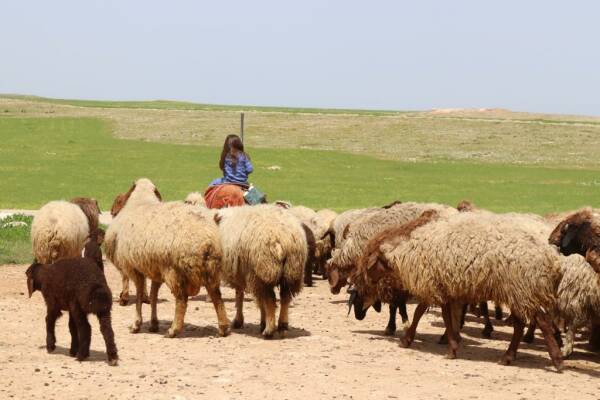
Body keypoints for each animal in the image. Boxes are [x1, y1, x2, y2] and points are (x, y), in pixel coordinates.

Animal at [105, 178, 230, 338]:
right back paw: (223, 327)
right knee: (217, 296)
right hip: (211, 270)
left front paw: (136, 324)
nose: (112, 212)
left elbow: (139, 295)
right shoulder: (155, 270)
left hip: (174, 270)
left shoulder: (133, 268)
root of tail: (207, 240)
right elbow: (153, 295)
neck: (141, 200)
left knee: (182, 299)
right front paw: (153, 323)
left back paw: (173, 329)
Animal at [214, 204, 307, 338]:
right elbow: (244, 296)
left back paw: (269, 330)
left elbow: (241, 297)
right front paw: (259, 322)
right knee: (285, 297)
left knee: (269, 299)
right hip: (291, 271)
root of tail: (281, 238)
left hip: (263, 272)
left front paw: (239, 321)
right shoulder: (242, 273)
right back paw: (282, 326)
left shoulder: (242, 273)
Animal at [356, 209, 564, 371]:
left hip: (523, 289)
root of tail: (551, 258)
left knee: (542, 321)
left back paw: (557, 360)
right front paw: (411, 339)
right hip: (518, 292)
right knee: (521, 324)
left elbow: (439, 316)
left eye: (368, 264)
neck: (406, 253)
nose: (361, 286)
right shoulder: (443, 287)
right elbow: (426, 313)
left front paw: (451, 349)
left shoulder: (436, 285)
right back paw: (508, 357)